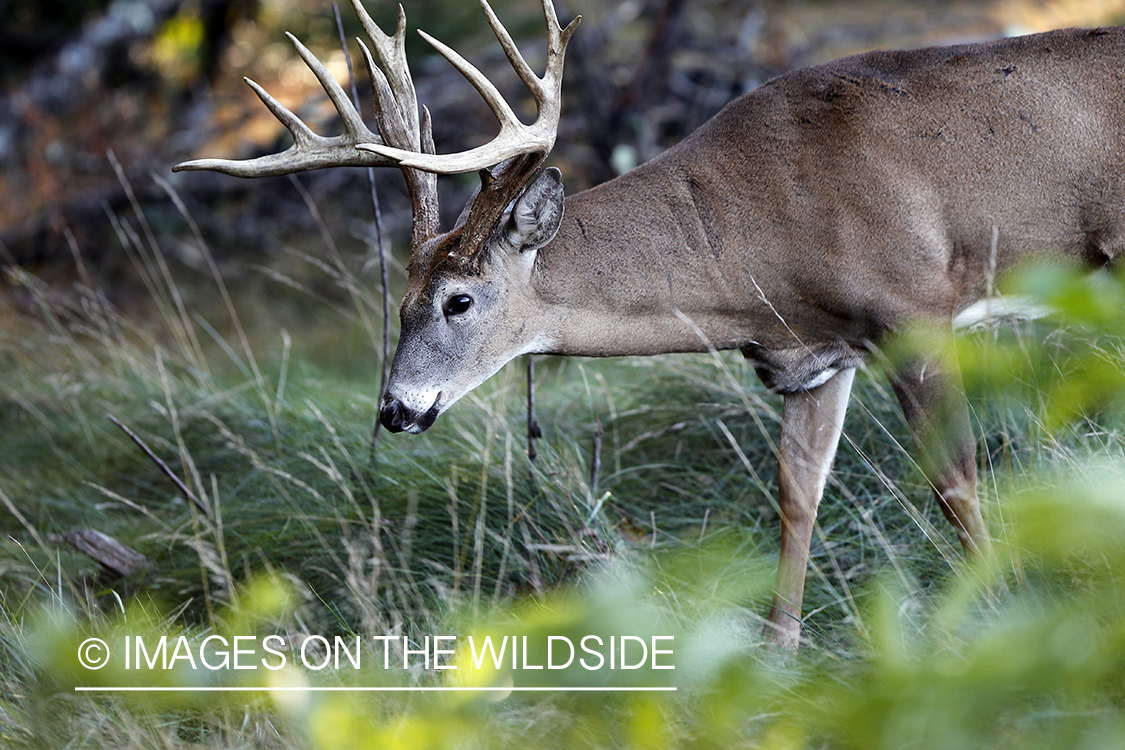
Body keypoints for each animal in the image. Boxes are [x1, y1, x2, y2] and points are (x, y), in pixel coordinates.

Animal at [168, 0, 1125, 647]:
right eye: (397, 300)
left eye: (458, 300)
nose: (396, 409)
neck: (761, 232)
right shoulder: (812, 357)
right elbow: (796, 494)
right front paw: (777, 649)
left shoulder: (916, 310)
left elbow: (955, 482)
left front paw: (999, 611)